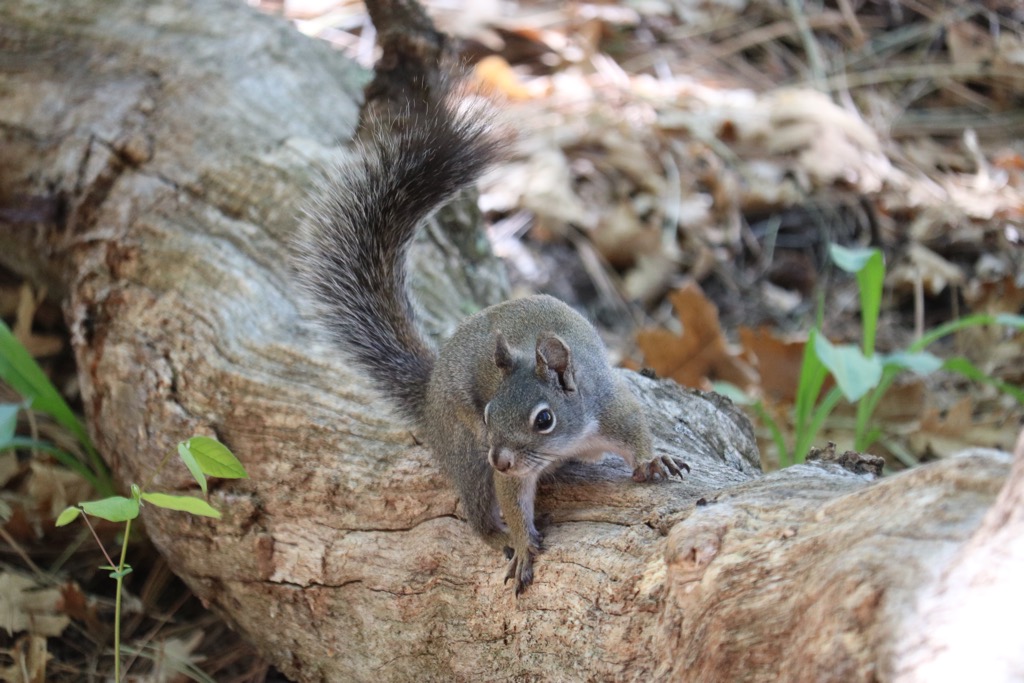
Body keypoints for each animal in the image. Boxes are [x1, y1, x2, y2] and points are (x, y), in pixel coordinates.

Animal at [294, 80, 688, 593]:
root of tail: (429, 396)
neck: (569, 438)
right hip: (465, 452)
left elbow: (637, 427)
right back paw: (494, 533)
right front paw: (520, 543)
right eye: (488, 412)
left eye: (544, 419)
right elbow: (512, 500)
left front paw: (654, 461)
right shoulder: (504, 463)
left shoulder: (611, 406)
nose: (499, 458)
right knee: (477, 515)